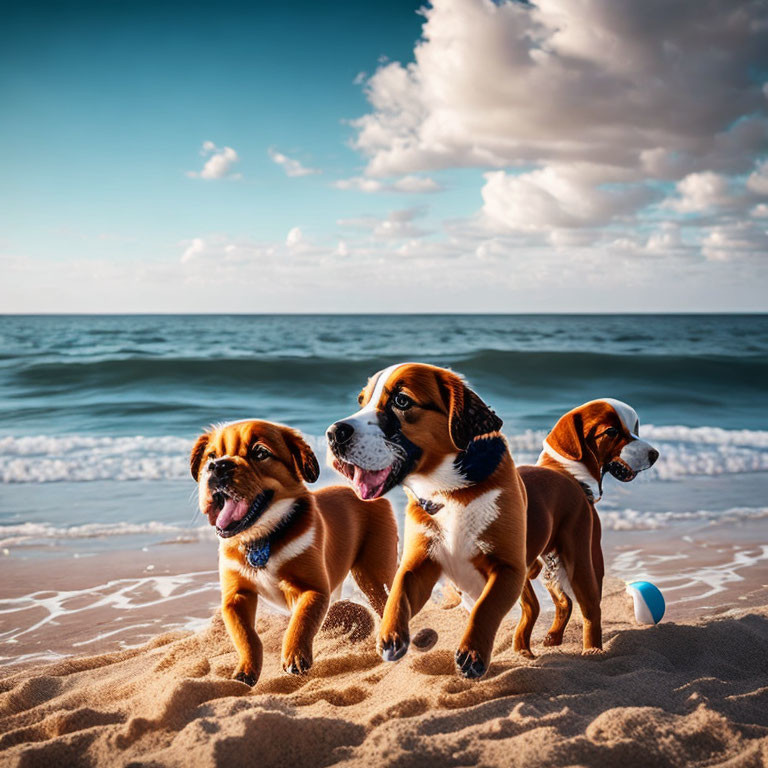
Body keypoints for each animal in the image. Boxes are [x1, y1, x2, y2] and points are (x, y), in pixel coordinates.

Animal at [190, 424, 396, 688]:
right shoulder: (236, 596)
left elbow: (301, 621)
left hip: (373, 576)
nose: (218, 466)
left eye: (260, 452)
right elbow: (245, 635)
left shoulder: (314, 588)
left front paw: (295, 657)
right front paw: (246, 670)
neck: (263, 537)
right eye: (211, 456)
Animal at [324, 364, 528, 680]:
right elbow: (399, 589)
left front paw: (473, 652)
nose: (333, 433)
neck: (448, 491)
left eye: (402, 401)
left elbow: (487, 607)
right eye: (361, 401)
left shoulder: (509, 566)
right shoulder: (421, 559)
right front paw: (391, 633)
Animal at [512, 400, 656, 656]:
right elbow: (530, 605)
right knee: (566, 601)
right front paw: (522, 650)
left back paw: (592, 652)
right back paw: (554, 637)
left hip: (583, 559)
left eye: (635, 429)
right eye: (612, 431)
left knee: (590, 608)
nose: (655, 454)